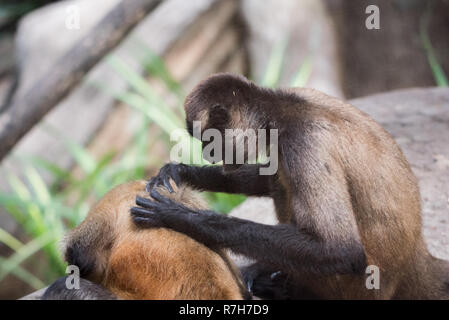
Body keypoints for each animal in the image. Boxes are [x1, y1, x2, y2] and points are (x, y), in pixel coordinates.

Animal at [130, 73, 448, 300]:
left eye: (208, 140)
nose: (207, 154)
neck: (288, 107)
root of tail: (416, 260)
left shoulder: (302, 140)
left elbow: (342, 250)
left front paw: (180, 217)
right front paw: (181, 171)